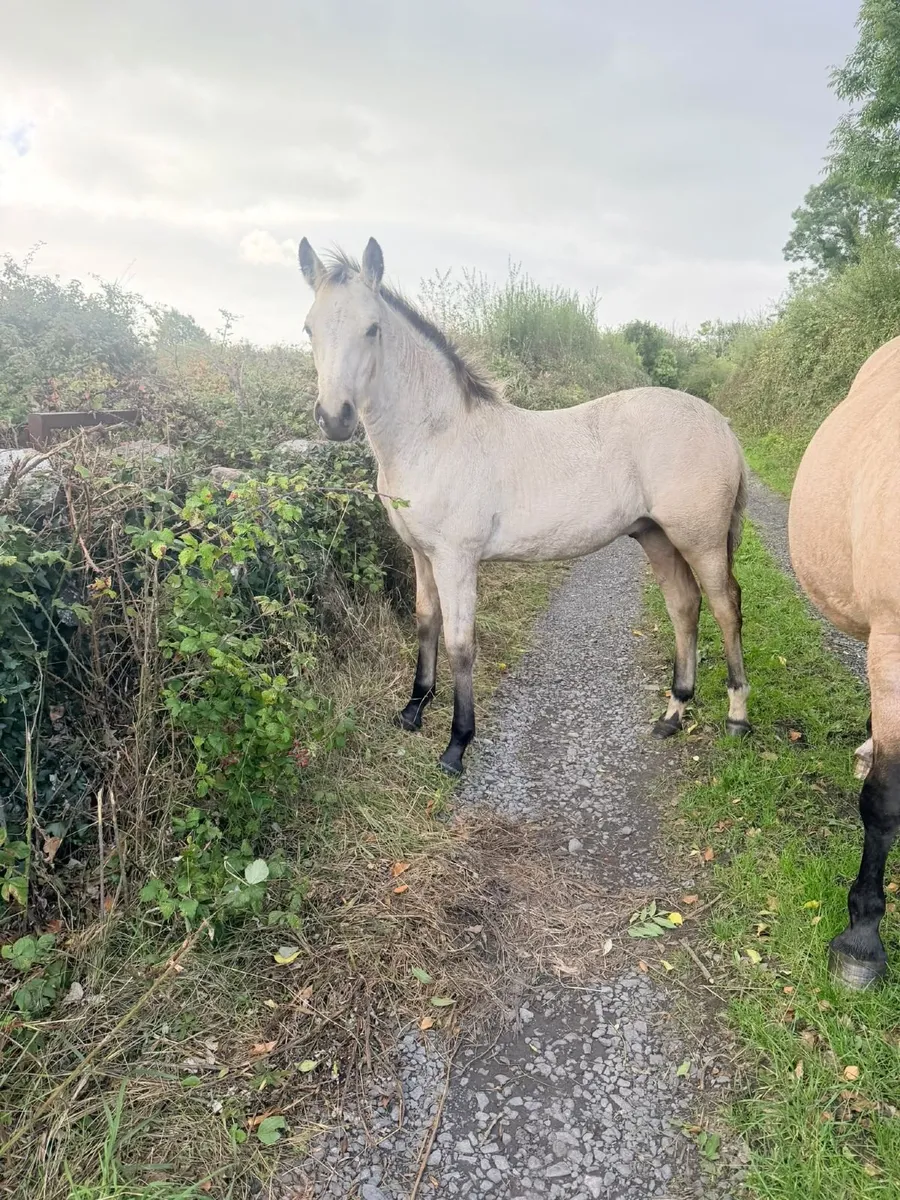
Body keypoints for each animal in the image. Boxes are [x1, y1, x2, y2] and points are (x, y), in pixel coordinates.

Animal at [298, 237, 751, 775]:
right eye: (308, 327)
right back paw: (673, 714)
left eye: (372, 327)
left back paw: (737, 718)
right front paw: (413, 710)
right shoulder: (422, 555)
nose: (334, 418)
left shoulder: (457, 559)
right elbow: (426, 622)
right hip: (655, 535)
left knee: (726, 606)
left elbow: (460, 643)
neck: (436, 437)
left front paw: (457, 745)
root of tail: (721, 424)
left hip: (700, 539)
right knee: (684, 605)